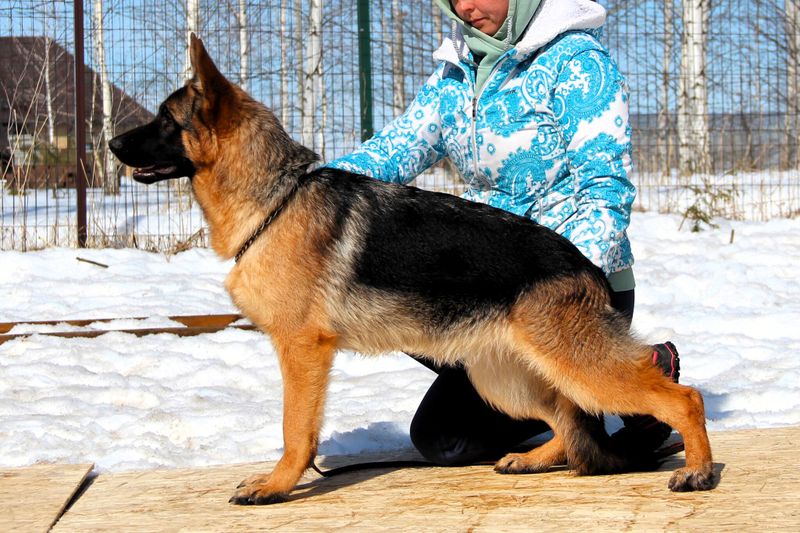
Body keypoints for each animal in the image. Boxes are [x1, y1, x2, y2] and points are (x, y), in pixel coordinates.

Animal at [108, 34, 720, 502]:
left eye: (164, 119)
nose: (110, 142)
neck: (275, 199)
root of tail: (584, 262)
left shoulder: (303, 352)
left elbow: (295, 431)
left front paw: (278, 485)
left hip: (573, 364)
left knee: (676, 396)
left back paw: (696, 468)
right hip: (503, 377)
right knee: (569, 420)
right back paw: (538, 458)